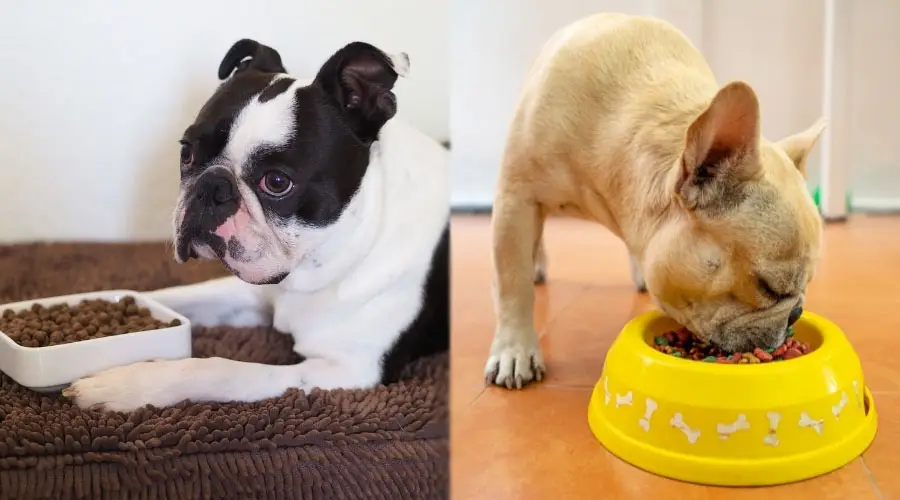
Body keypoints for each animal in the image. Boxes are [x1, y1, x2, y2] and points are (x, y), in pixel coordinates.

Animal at [65, 39, 450, 412]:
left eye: (277, 182)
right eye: (187, 152)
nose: (211, 187)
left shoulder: (347, 371)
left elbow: (223, 369)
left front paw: (128, 384)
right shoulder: (256, 296)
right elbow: (169, 297)